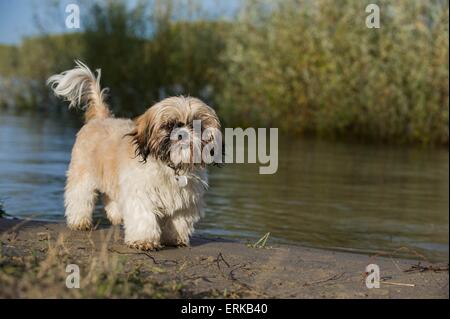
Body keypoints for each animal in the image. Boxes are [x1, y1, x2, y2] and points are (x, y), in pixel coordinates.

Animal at [47, 61, 221, 251]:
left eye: (198, 126)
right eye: (169, 125)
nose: (183, 133)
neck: (170, 167)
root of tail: (101, 118)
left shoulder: (184, 201)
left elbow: (178, 220)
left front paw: (174, 238)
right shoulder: (140, 193)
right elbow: (143, 217)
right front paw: (144, 241)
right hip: (83, 175)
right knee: (79, 197)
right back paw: (80, 221)